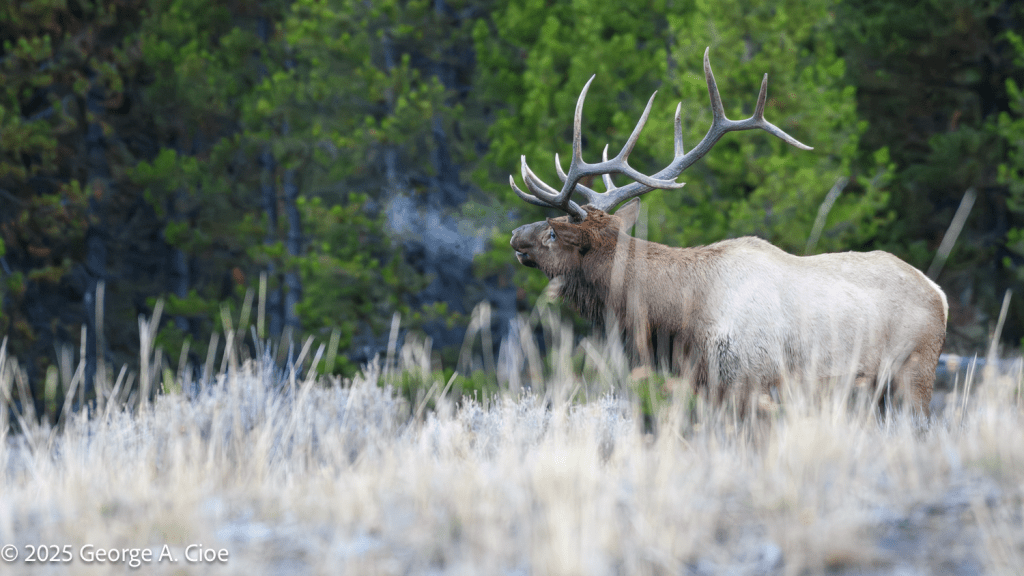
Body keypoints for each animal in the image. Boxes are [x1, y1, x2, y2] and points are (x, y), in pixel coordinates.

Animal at [508, 49, 947, 416]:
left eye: (552, 234)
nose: (515, 236)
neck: (679, 318)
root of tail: (939, 294)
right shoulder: (708, 385)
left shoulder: (747, 381)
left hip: (914, 375)